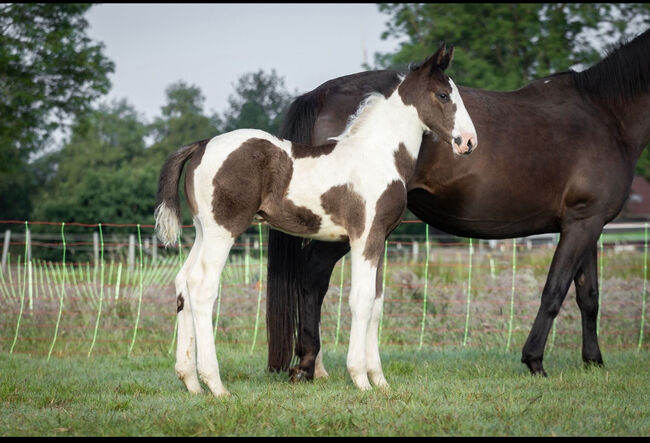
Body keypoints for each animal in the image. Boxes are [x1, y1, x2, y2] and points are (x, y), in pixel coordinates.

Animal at [153, 45, 476, 398]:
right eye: (443, 95)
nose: (468, 142)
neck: (377, 155)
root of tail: (200, 146)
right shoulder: (364, 238)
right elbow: (360, 301)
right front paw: (360, 379)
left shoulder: (380, 240)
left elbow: (376, 304)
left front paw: (380, 380)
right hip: (223, 232)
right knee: (202, 287)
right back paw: (216, 384)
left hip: (202, 231)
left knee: (183, 282)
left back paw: (191, 381)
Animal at [266, 28, 648, 382]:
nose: (468, 141)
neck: (605, 115)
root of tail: (321, 93)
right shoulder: (582, 223)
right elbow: (555, 290)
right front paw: (535, 360)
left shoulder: (588, 224)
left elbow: (589, 295)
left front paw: (594, 361)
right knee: (314, 278)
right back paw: (308, 365)